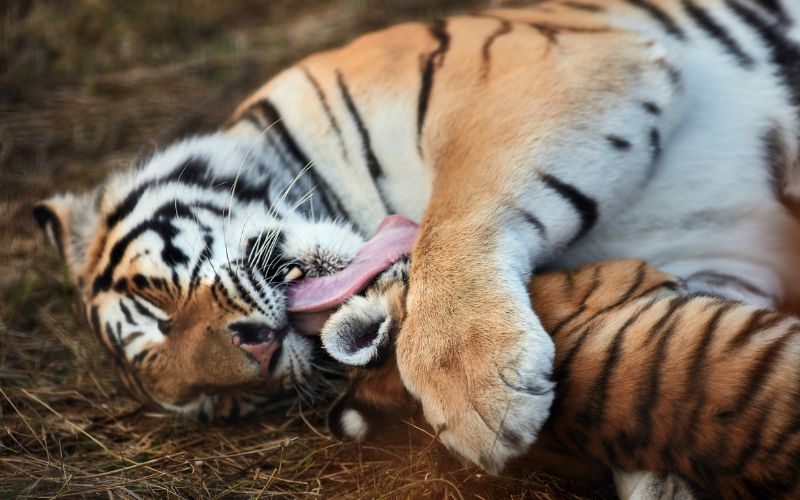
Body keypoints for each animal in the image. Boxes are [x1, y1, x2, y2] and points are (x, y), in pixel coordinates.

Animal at [32, 0, 800, 496]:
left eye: (158, 303)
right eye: (221, 405)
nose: (259, 357)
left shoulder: (548, 64)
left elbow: (457, 213)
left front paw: (478, 387)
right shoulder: (711, 264)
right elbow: (695, 385)